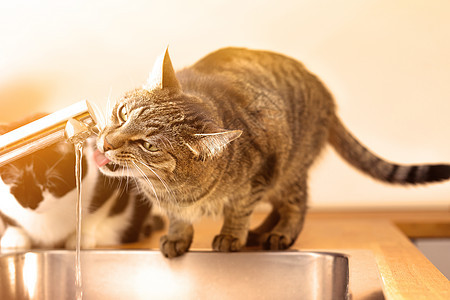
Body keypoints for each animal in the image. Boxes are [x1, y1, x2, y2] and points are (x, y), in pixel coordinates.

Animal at [0, 116, 160, 250]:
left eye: (50, 182)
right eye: (15, 183)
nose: (30, 203)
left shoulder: (109, 181)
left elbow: (95, 214)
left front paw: (81, 237)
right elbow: (9, 220)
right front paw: (15, 237)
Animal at [93, 47, 448, 258]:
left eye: (149, 145)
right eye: (122, 113)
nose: (106, 143)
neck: (173, 189)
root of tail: (325, 93)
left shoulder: (259, 174)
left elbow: (238, 210)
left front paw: (231, 235)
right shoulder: (176, 204)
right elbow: (179, 219)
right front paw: (178, 236)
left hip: (289, 167)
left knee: (296, 204)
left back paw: (278, 234)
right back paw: (261, 232)